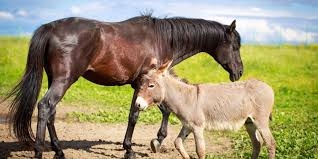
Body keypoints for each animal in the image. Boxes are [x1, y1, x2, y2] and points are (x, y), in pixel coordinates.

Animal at [4, 14, 243, 158]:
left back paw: (59, 151)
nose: (239, 72)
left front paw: (152, 142)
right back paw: (39, 151)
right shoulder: (144, 83)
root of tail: (50, 28)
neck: (162, 39)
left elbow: (157, 109)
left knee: (51, 111)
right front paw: (140, 146)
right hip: (63, 80)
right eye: (235, 46)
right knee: (45, 106)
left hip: (55, 80)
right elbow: (139, 114)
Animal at [136, 62, 276, 159]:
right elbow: (178, 142)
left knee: (270, 143)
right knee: (257, 144)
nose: (137, 104)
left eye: (151, 85)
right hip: (249, 122)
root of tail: (268, 86)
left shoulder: (197, 127)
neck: (186, 98)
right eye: (140, 84)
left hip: (261, 121)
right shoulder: (187, 125)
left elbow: (200, 151)